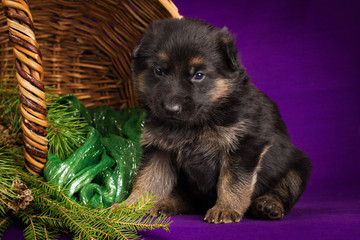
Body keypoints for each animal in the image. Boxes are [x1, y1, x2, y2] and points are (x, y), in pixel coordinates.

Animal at [120, 17, 310, 223]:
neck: (195, 124)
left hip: (298, 166)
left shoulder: (245, 144)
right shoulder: (158, 149)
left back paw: (267, 205)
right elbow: (148, 179)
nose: (171, 109)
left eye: (198, 75)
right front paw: (130, 206)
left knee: (284, 189)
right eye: (159, 71)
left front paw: (226, 209)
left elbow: (232, 182)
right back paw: (165, 204)